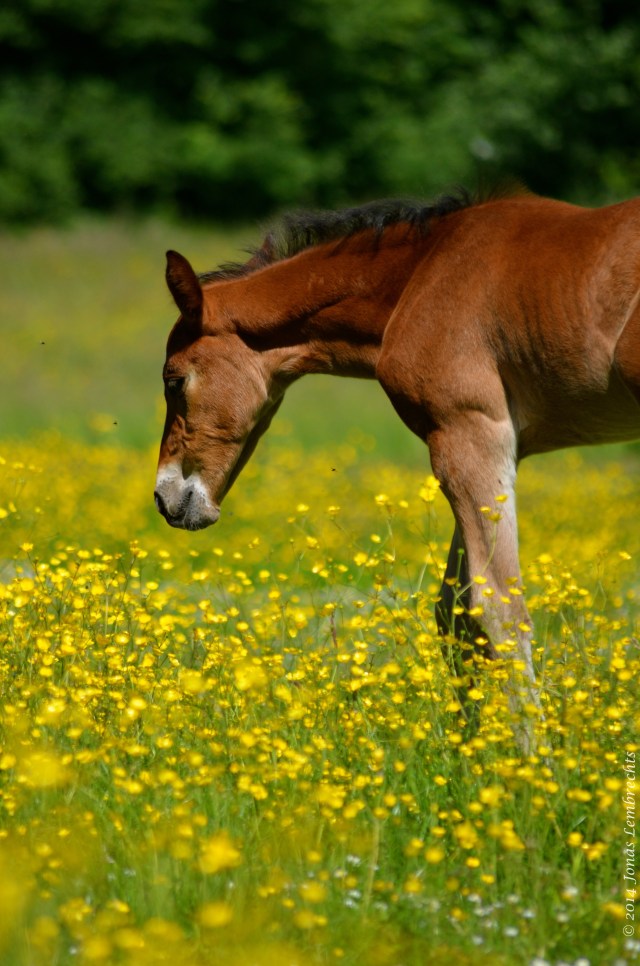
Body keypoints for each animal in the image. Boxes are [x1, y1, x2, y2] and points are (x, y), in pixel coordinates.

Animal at [155, 189, 640, 744]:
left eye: (174, 379)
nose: (165, 497)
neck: (420, 275)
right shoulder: (488, 451)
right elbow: (453, 611)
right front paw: (468, 750)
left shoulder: (467, 436)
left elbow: (496, 604)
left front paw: (531, 759)